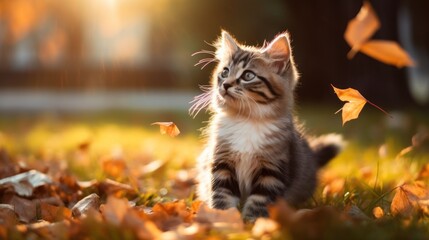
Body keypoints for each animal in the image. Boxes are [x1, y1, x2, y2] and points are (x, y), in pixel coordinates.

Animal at [191, 31, 342, 222]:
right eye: (225, 72)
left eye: (248, 76)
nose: (225, 85)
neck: (247, 119)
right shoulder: (222, 163)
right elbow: (222, 197)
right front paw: (224, 221)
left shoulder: (272, 169)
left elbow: (258, 202)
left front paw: (252, 224)